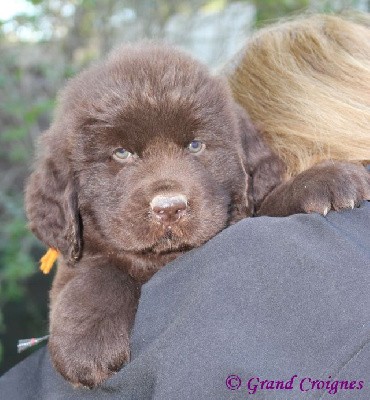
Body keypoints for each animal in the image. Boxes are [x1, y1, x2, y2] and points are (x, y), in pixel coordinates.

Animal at [25, 43, 370, 388]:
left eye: (194, 145)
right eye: (121, 153)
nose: (169, 207)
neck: (166, 257)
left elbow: (267, 203)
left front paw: (325, 179)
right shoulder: (79, 252)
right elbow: (94, 273)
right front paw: (86, 347)